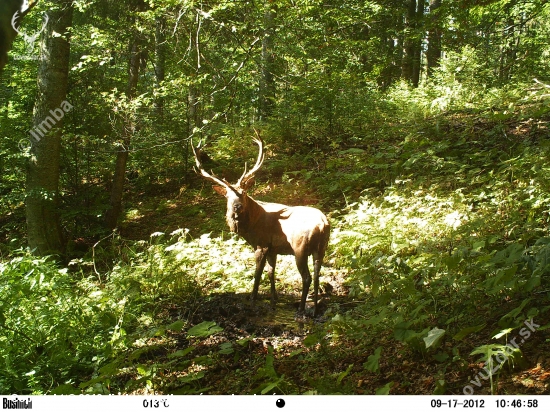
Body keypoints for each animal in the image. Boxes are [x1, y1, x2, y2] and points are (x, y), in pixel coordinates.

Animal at [194, 130, 332, 318]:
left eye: (244, 193)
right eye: (227, 196)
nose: (237, 207)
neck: (251, 226)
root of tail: (323, 224)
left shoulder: (261, 244)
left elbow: (257, 273)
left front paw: (252, 297)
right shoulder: (273, 248)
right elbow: (271, 272)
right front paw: (274, 298)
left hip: (300, 248)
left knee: (307, 277)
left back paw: (301, 309)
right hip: (322, 248)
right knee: (318, 274)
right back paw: (315, 309)